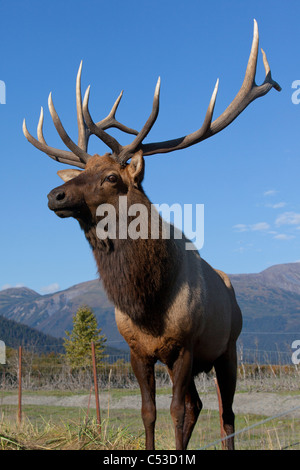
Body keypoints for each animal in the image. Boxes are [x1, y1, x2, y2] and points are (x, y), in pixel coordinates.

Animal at [22, 20, 278, 450]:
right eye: (80, 171)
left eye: (112, 177)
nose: (54, 194)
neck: (148, 304)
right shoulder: (137, 351)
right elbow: (149, 412)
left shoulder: (186, 345)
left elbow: (175, 411)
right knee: (198, 406)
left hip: (228, 348)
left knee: (225, 413)